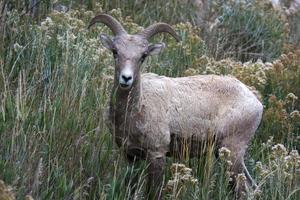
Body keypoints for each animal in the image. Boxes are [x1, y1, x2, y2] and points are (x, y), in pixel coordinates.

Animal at [88, 13, 262, 198]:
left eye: (143, 56)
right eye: (115, 52)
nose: (126, 78)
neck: (136, 110)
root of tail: (256, 103)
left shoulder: (157, 154)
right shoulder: (131, 155)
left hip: (233, 152)